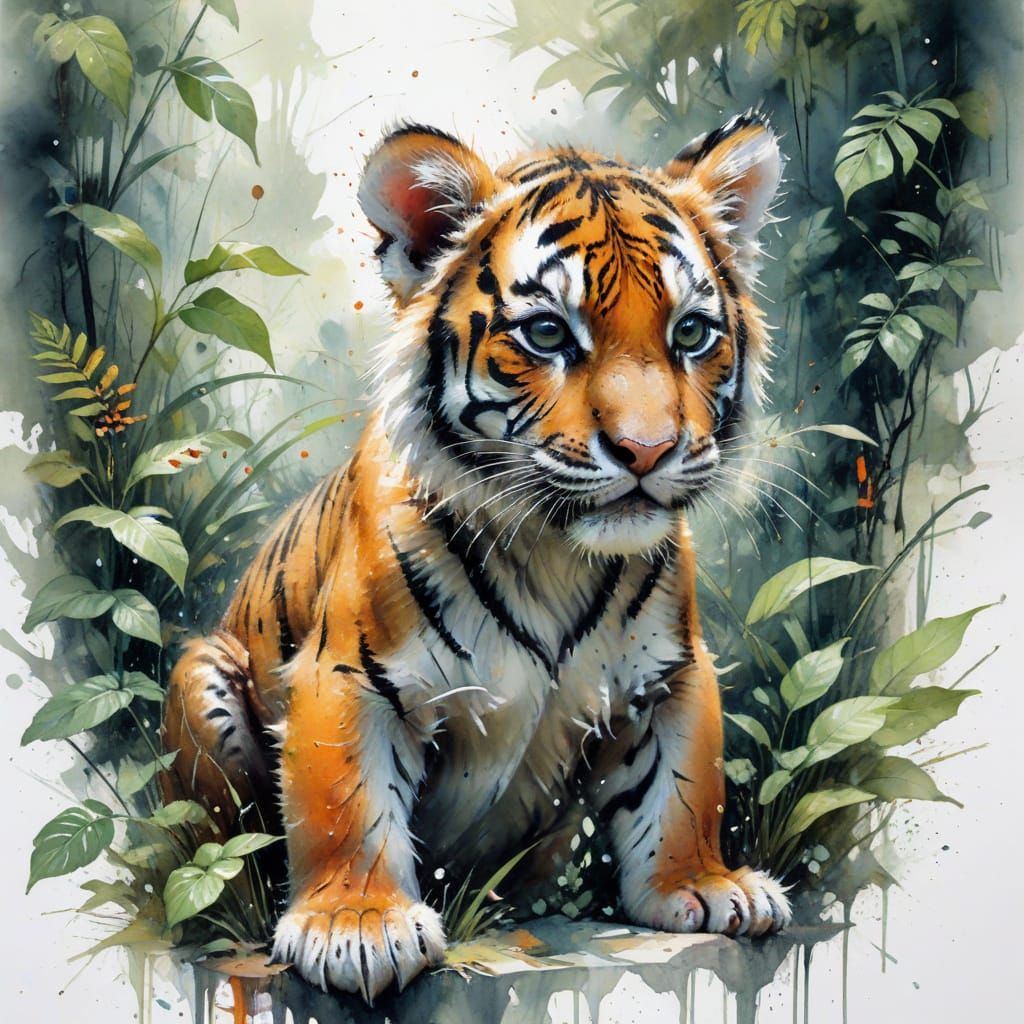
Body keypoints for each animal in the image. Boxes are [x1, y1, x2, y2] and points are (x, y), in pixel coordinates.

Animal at [160, 113, 791, 1002]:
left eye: (692, 333)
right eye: (549, 333)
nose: (648, 450)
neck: (557, 552)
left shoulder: (674, 674)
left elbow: (682, 788)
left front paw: (702, 884)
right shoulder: (348, 674)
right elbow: (344, 804)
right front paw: (358, 926)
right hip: (202, 675)